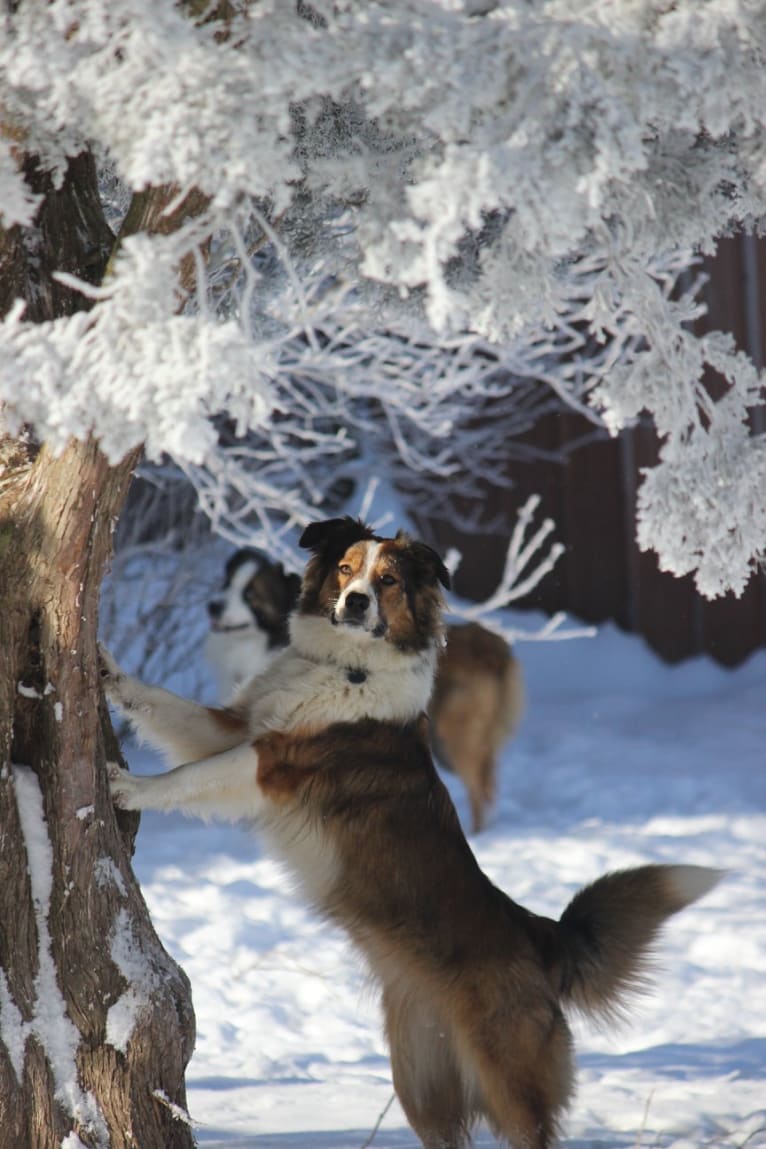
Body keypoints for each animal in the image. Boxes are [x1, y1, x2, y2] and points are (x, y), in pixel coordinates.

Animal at [206, 544, 523, 827]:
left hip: (454, 735)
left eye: (250, 594)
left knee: (480, 792)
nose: (213, 605)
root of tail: (494, 645)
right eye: (226, 583)